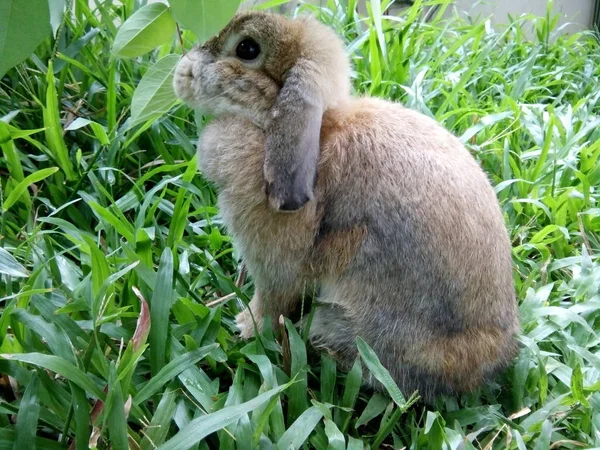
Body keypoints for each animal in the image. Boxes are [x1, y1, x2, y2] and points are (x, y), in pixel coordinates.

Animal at [173, 12, 520, 402]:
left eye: (246, 49)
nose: (181, 73)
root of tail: (482, 365)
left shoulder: (275, 268)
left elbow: (271, 302)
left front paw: (246, 327)